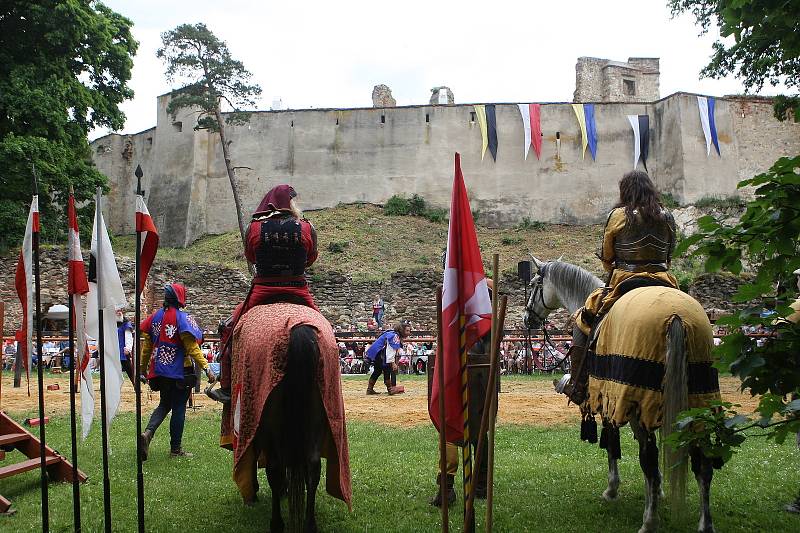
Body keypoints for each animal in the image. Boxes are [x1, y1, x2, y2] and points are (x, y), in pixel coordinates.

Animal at [520, 258, 720, 532]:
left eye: (533, 284)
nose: (527, 318)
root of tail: (675, 316)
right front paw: (657, 491)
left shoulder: (611, 399)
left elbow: (612, 443)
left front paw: (613, 489)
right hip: (696, 403)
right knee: (702, 464)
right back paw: (704, 523)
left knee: (649, 458)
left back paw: (649, 521)